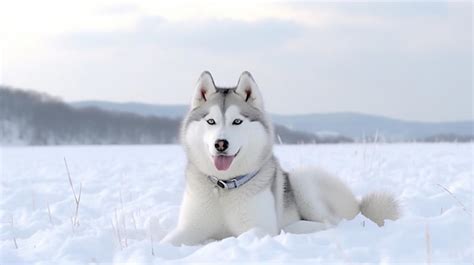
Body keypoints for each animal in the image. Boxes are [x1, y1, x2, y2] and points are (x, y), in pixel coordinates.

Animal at [163, 71, 400, 244]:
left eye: (237, 121)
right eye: (210, 121)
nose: (221, 144)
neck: (224, 187)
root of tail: (358, 206)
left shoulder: (259, 229)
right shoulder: (189, 228)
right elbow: (167, 242)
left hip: (303, 179)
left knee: (333, 223)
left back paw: (296, 227)